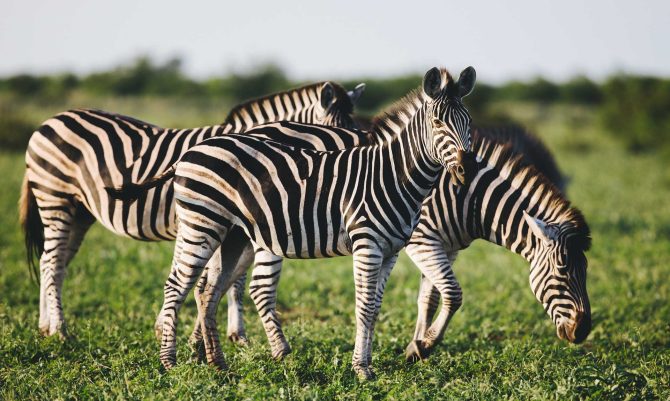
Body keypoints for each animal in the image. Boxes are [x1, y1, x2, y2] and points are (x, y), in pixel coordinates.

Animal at [19, 80, 365, 338]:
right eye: (338, 134)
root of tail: (49, 121)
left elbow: (227, 279)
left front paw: (223, 333)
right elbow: (226, 281)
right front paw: (229, 333)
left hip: (80, 212)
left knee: (53, 261)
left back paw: (46, 326)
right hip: (55, 199)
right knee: (51, 262)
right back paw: (60, 330)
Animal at [111, 66, 477, 379]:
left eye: (469, 122)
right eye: (437, 122)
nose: (468, 169)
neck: (393, 176)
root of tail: (191, 151)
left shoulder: (391, 252)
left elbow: (375, 309)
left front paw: (370, 363)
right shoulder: (367, 244)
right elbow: (363, 306)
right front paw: (361, 369)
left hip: (232, 235)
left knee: (207, 292)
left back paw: (218, 364)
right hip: (201, 223)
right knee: (177, 285)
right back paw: (169, 363)